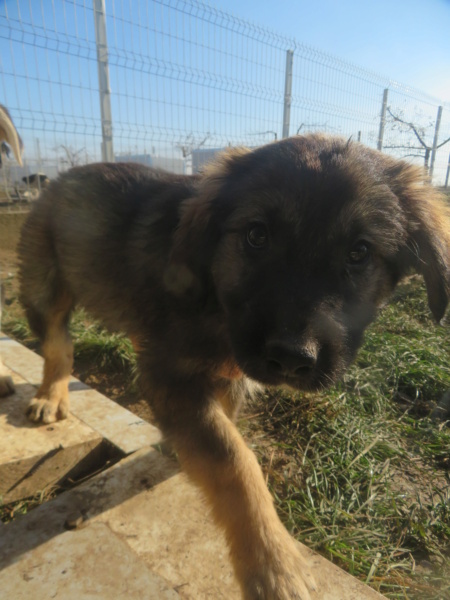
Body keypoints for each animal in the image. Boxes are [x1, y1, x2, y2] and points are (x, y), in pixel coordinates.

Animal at [17, 136, 450, 600]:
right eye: (256, 235)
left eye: (360, 252)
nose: (292, 357)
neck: (214, 297)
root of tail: (56, 179)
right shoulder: (172, 376)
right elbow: (234, 459)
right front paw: (275, 566)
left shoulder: (225, 376)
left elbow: (221, 432)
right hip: (45, 287)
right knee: (58, 345)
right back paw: (49, 396)